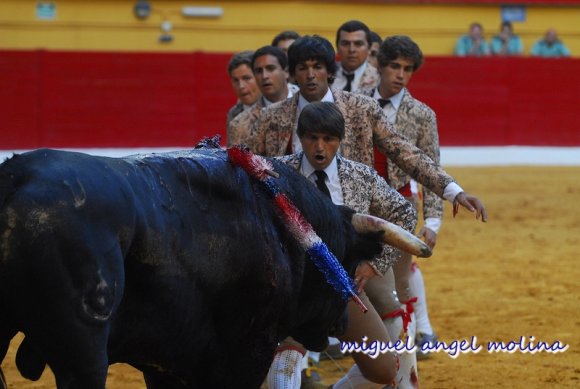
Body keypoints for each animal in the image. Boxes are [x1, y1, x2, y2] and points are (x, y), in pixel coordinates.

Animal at [1, 147, 390, 386]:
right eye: (346, 261)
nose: (344, 323)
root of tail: (16, 178)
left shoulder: (165, 362)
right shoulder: (246, 353)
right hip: (83, 356)